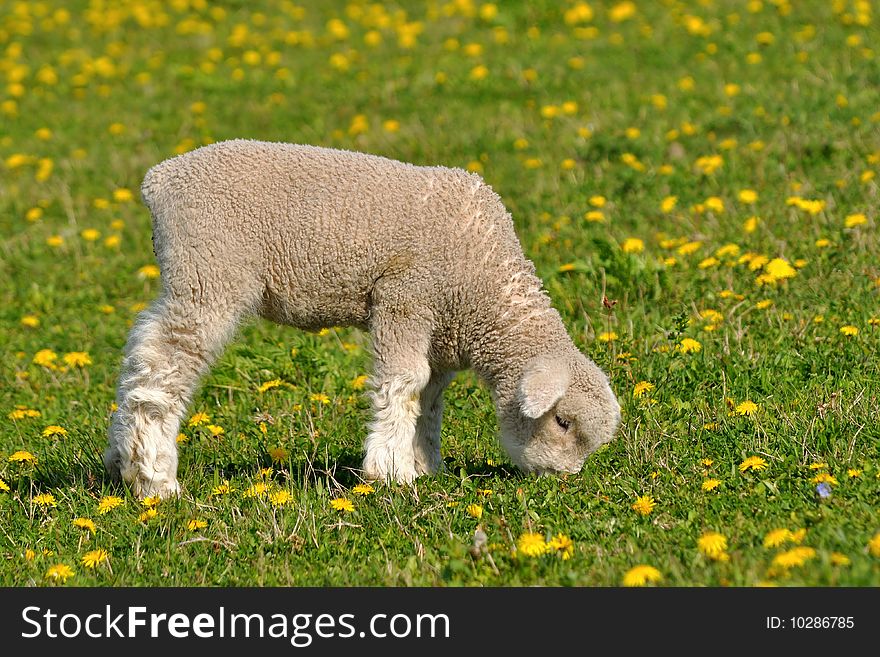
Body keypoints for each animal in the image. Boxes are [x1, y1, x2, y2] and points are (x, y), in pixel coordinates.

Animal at [106, 140, 624, 498]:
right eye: (562, 422)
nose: (561, 478)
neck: (485, 294)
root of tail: (161, 180)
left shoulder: (441, 336)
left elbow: (429, 399)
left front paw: (423, 463)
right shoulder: (405, 298)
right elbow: (402, 383)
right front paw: (390, 472)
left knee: (139, 352)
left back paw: (119, 458)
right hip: (208, 275)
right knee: (161, 366)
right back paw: (153, 477)